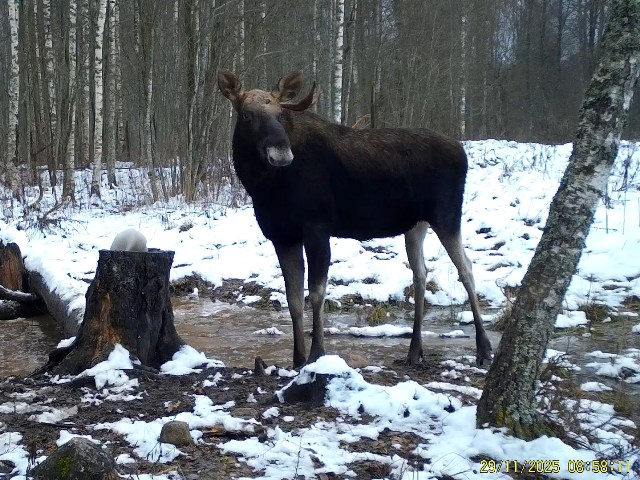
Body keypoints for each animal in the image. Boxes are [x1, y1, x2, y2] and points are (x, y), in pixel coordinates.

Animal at [218, 71, 492, 368]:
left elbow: (317, 292)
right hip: (416, 225)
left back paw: (484, 348)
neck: (263, 186)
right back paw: (414, 350)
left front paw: (316, 354)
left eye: (280, 114)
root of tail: (462, 151)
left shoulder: (317, 227)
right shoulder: (282, 236)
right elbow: (293, 299)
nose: (280, 153)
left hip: (447, 215)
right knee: (421, 272)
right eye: (246, 115)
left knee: (466, 268)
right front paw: (297, 359)